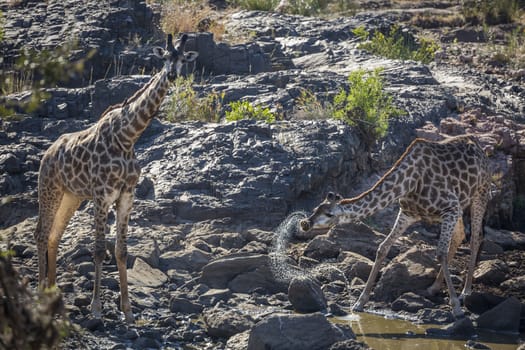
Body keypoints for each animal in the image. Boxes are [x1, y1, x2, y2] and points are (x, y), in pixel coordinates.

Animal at [34, 32, 199, 322]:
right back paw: (43, 293)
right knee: (41, 235)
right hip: (49, 190)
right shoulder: (102, 195)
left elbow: (122, 251)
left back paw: (54, 292)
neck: (128, 137)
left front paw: (128, 310)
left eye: (182, 59)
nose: (171, 75)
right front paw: (96, 308)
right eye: (165, 57)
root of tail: (48, 153)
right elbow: (100, 251)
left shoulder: (126, 196)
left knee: (54, 236)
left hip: (71, 196)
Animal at [300, 135, 490, 318]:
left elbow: (441, 253)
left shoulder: (450, 207)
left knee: (475, 238)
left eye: (329, 214)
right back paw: (433, 288)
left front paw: (456, 308)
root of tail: (479, 148)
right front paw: (360, 302)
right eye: (315, 209)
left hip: (479, 193)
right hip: (461, 206)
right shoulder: (407, 213)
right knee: (460, 236)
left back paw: (465, 292)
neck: (410, 182)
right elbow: (383, 248)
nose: (305, 223)